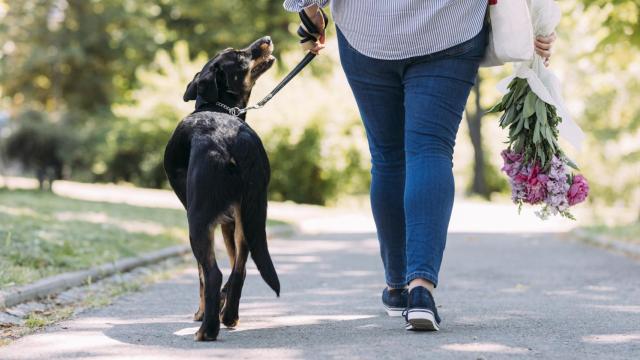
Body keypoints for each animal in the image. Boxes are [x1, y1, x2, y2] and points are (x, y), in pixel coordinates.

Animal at [164, 37, 278, 344]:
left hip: (198, 221)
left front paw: (202, 312)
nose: (266, 39)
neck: (218, 108)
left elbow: (202, 278)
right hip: (250, 216)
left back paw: (208, 329)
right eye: (238, 55)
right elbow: (235, 266)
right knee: (239, 269)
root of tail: (233, 139)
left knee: (213, 273)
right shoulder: (231, 221)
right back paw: (228, 316)